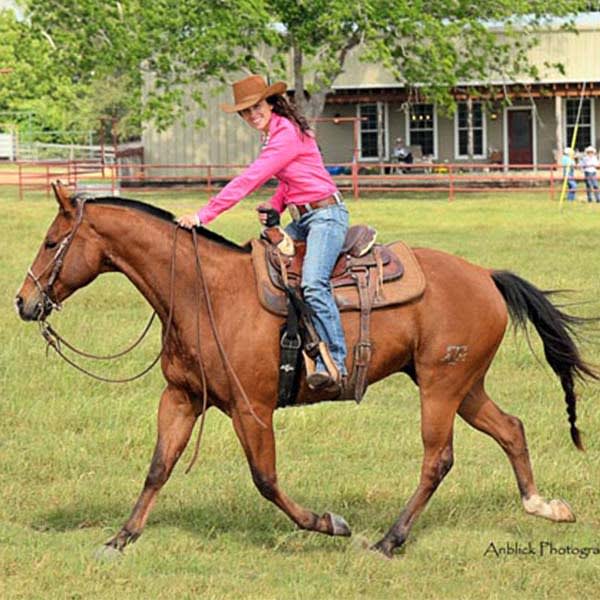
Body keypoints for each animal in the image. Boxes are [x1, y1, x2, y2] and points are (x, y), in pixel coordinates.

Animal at [14, 184, 596, 556]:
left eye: (50, 243)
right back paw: (543, 506)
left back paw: (388, 540)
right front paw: (121, 538)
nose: (23, 301)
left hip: (441, 386)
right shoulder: (180, 397)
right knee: (511, 428)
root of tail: (485, 276)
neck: (206, 293)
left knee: (438, 459)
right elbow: (159, 466)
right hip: (464, 385)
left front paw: (329, 524)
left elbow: (266, 480)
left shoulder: (251, 408)